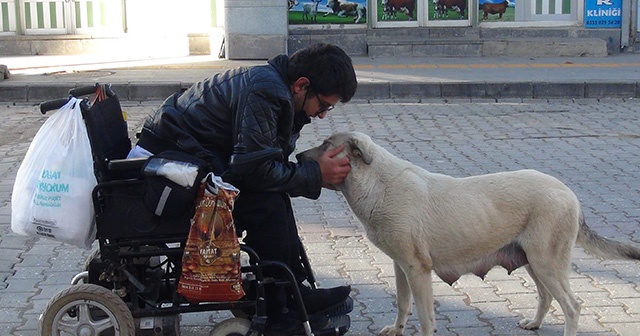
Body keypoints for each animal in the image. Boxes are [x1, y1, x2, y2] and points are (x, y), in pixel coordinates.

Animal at [298, 132, 640, 336]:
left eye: (326, 146)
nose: (298, 158)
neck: (377, 184)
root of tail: (569, 193)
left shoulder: (418, 270)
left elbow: (425, 316)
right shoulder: (400, 267)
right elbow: (402, 303)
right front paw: (396, 328)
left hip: (547, 263)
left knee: (572, 306)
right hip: (534, 262)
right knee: (546, 298)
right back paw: (534, 323)